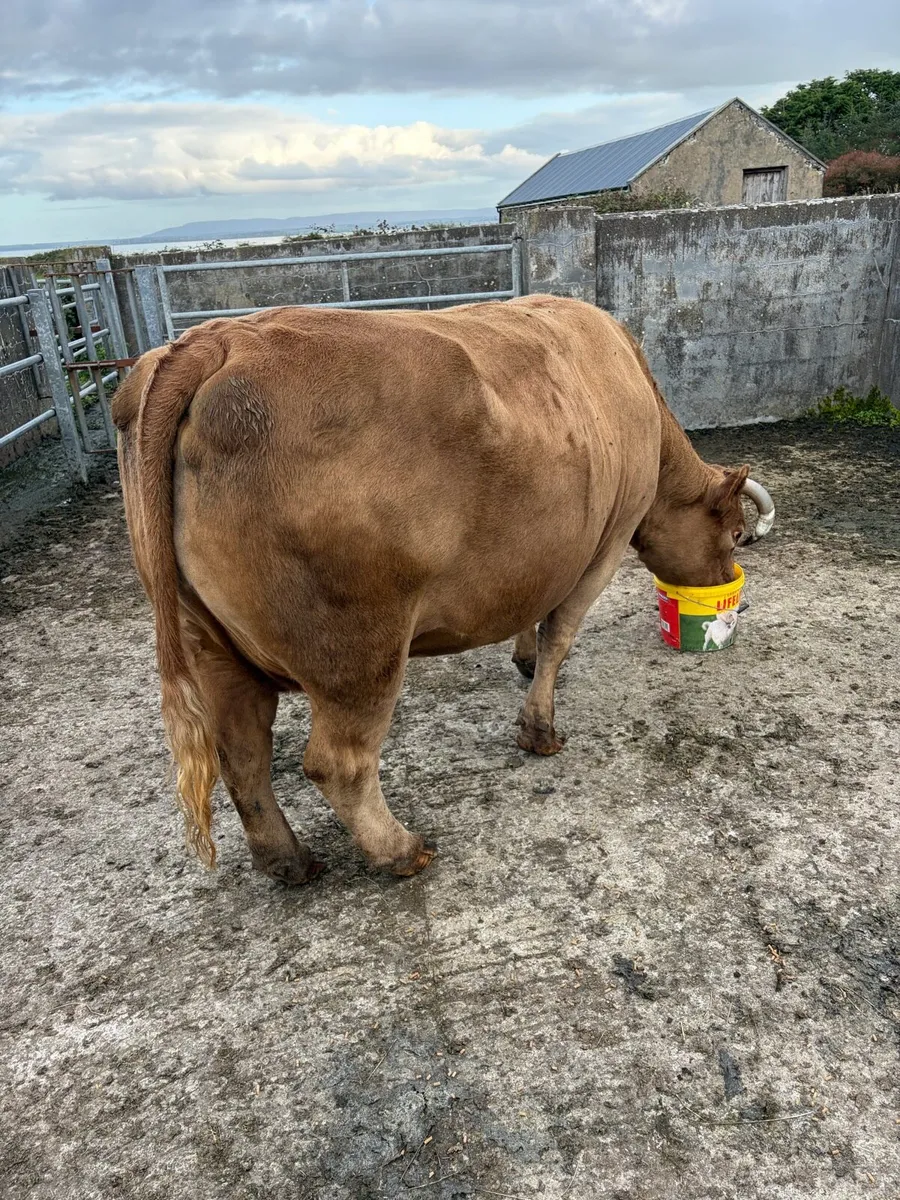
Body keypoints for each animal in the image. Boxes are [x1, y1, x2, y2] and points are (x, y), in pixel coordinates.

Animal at [113, 294, 774, 884]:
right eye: (733, 535)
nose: (727, 585)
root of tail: (219, 339)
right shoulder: (605, 543)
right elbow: (559, 634)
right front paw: (539, 728)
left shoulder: (540, 552)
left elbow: (531, 610)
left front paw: (522, 658)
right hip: (356, 647)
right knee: (338, 763)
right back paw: (400, 851)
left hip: (210, 645)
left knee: (243, 757)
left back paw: (289, 862)